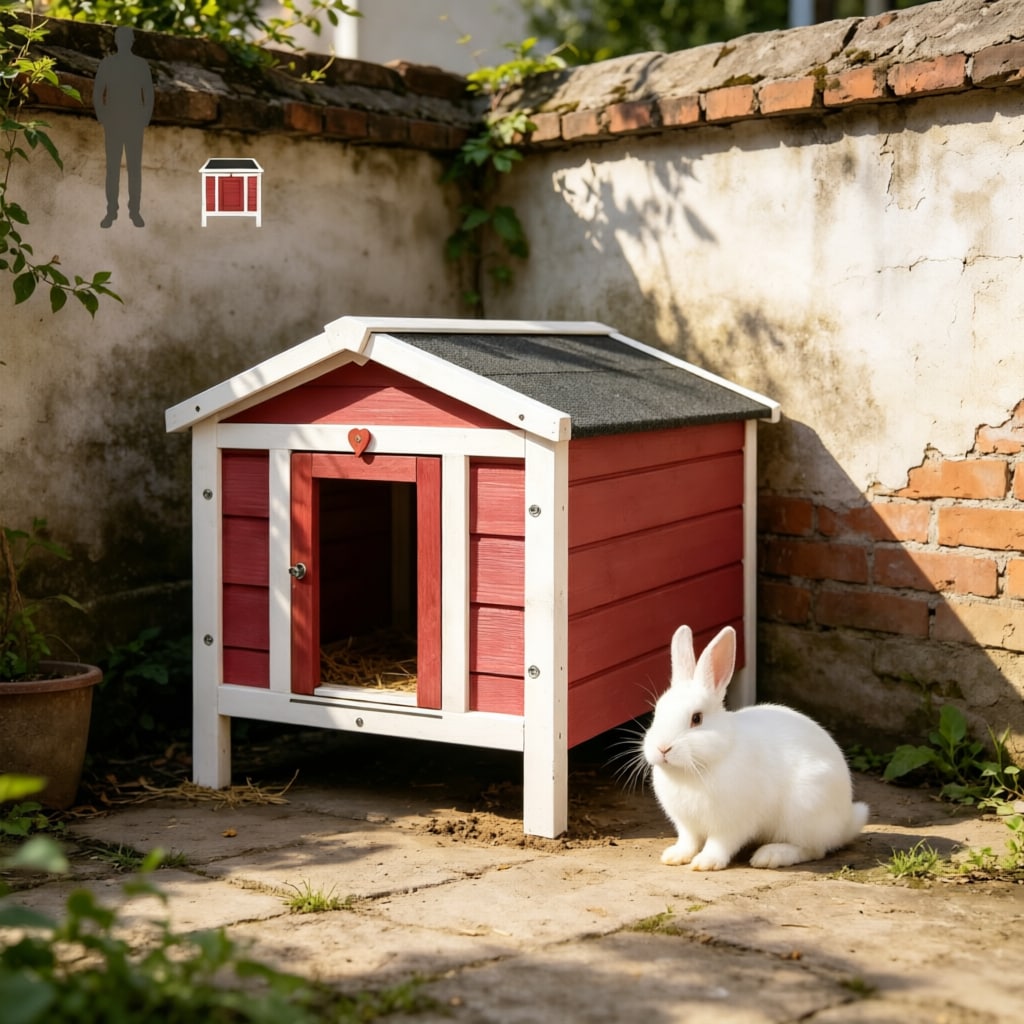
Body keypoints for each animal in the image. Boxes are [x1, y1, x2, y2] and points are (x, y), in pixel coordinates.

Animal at [642, 624, 869, 871]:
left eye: (696, 718)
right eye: (657, 712)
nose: (662, 748)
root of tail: (845, 823)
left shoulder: (733, 822)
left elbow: (720, 843)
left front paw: (705, 863)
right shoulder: (686, 824)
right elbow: (689, 840)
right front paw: (674, 856)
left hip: (805, 809)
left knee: (813, 849)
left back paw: (770, 856)